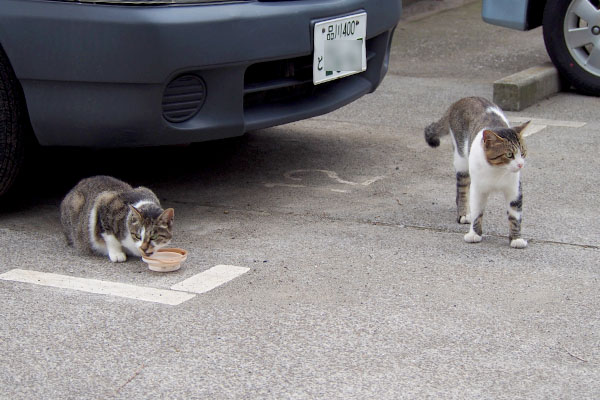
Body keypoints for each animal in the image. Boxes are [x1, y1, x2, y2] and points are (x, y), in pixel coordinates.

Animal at [424, 97, 528, 247]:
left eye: (523, 153)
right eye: (509, 154)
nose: (520, 164)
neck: (497, 170)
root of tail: (463, 100)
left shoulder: (514, 189)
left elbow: (515, 214)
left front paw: (516, 238)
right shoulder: (478, 188)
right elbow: (477, 212)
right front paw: (474, 234)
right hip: (461, 158)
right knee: (462, 188)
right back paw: (463, 213)